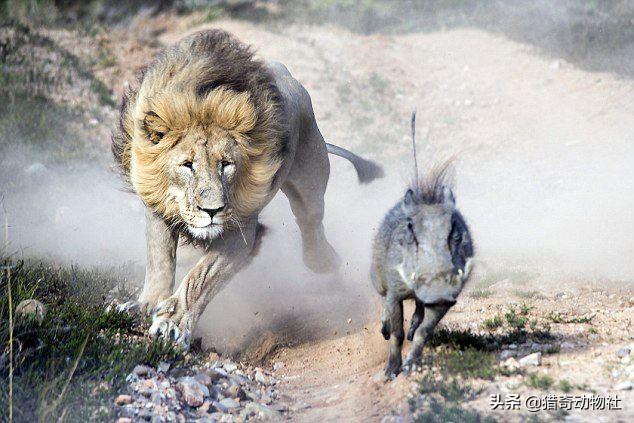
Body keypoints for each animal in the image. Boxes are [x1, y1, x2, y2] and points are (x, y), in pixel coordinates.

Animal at [111, 29, 382, 348]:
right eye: (188, 165)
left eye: (226, 164)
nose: (213, 210)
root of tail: (287, 73)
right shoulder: (157, 203)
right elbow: (160, 261)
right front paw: (145, 305)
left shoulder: (239, 230)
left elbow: (200, 278)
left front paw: (172, 323)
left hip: (309, 180)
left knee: (311, 222)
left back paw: (323, 261)